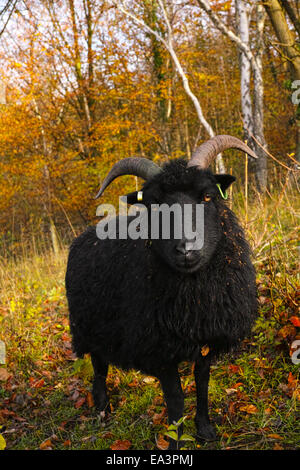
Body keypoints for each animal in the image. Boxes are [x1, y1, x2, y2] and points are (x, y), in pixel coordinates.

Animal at [65, 135, 258, 448]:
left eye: (207, 196)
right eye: (154, 206)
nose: (187, 249)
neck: (194, 297)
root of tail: (86, 234)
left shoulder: (207, 337)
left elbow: (202, 383)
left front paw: (205, 429)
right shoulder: (160, 349)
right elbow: (176, 400)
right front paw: (176, 441)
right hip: (89, 328)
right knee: (99, 367)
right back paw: (103, 408)